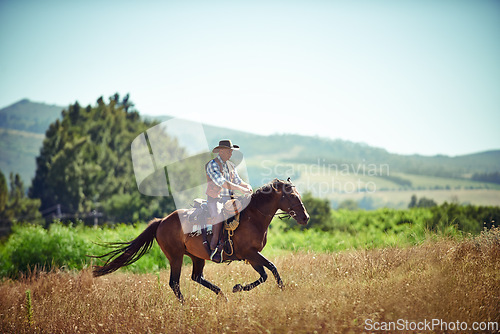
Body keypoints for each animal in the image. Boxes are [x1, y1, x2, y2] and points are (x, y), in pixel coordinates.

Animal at [92, 179, 306, 302]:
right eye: (292, 196)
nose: (306, 217)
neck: (252, 217)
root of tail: (162, 221)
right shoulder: (250, 253)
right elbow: (271, 269)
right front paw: (281, 292)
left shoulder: (251, 256)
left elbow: (265, 274)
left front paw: (238, 288)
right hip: (175, 256)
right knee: (174, 283)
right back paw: (186, 305)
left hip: (197, 256)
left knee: (196, 277)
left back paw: (222, 296)